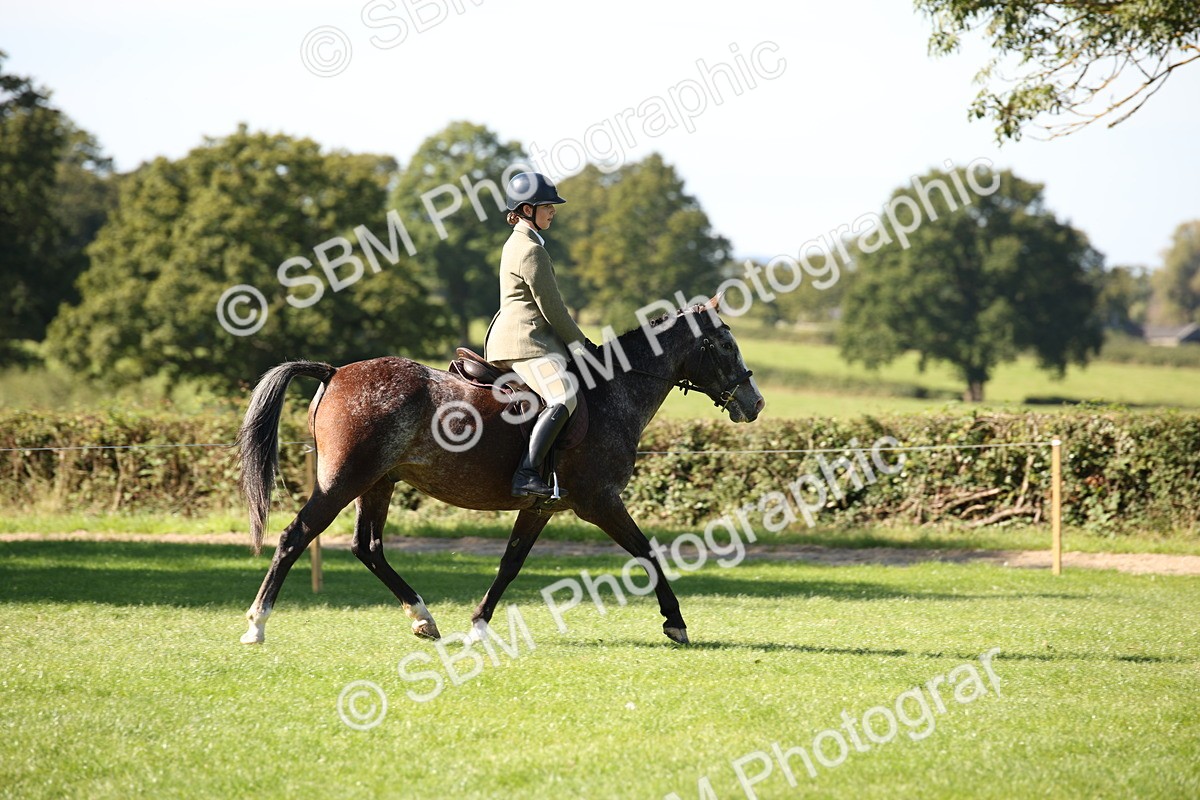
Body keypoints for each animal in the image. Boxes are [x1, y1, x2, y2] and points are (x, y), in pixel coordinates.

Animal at [237, 295, 765, 646]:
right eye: (722, 343)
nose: (755, 403)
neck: (614, 391)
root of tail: (334, 372)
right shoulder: (600, 501)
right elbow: (648, 553)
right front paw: (675, 622)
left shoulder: (540, 508)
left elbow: (510, 563)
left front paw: (478, 624)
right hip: (345, 480)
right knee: (296, 535)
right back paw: (257, 624)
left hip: (378, 483)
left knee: (368, 548)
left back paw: (424, 619)